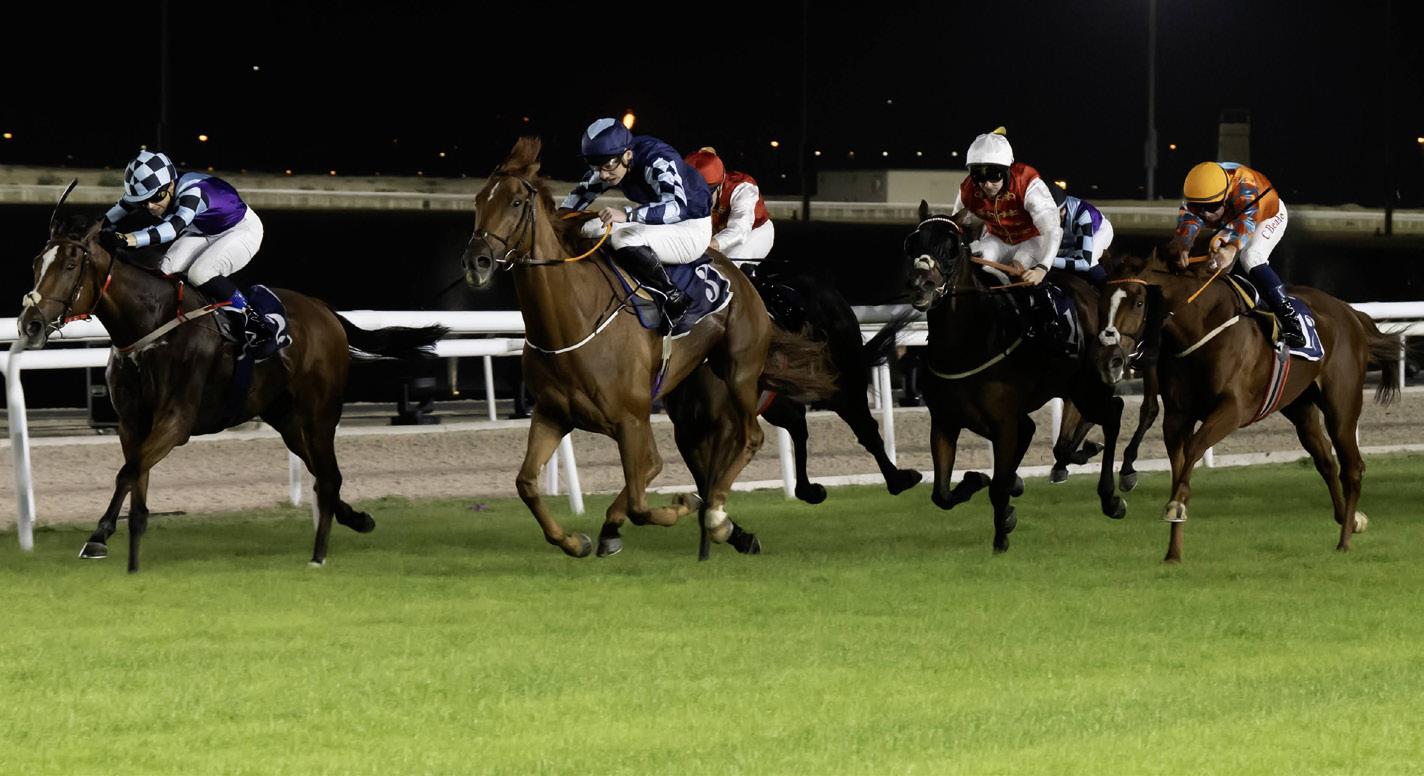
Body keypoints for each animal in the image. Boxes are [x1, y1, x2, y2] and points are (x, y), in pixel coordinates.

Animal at [16, 194, 447, 572]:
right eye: (37, 262)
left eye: (71, 265)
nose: (30, 324)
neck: (152, 327)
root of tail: (325, 310)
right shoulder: (132, 422)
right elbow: (136, 473)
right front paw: (121, 536)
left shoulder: (176, 420)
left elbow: (128, 471)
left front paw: (99, 535)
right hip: (286, 418)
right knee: (319, 471)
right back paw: (356, 519)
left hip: (321, 413)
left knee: (328, 476)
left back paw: (320, 552)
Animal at [460, 138, 835, 560]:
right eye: (478, 199)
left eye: (515, 202)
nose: (476, 261)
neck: (574, 321)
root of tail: (736, 272)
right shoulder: (552, 414)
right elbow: (525, 483)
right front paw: (574, 540)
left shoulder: (632, 419)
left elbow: (643, 493)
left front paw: (676, 508)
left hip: (739, 371)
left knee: (749, 438)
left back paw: (717, 517)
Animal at [903, 201, 1129, 552]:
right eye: (912, 243)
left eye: (953, 247)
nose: (921, 285)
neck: (967, 344)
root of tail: (1091, 292)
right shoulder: (944, 421)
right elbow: (941, 494)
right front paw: (977, 482)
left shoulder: (1004, 423)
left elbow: (997, 486)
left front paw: (1001, 536)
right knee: (1061, 435)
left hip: (1088, 385)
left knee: (1113, 413)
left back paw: (1110, 497)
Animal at [1095, 249, 1402, 562]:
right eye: (1102, 299)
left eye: (1138, 301)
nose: (1111, 357)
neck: (1201, 327)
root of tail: (1350, 312)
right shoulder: (1177, 416)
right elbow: (1179, 465)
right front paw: (1173, 551)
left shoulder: (1233, 409)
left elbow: (1194, 448)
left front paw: (1176, 506)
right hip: (1300, 407)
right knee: (1325, 460)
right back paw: (1350, 520)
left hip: (1341, 405)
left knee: (1352, 467)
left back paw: (1345, 540)